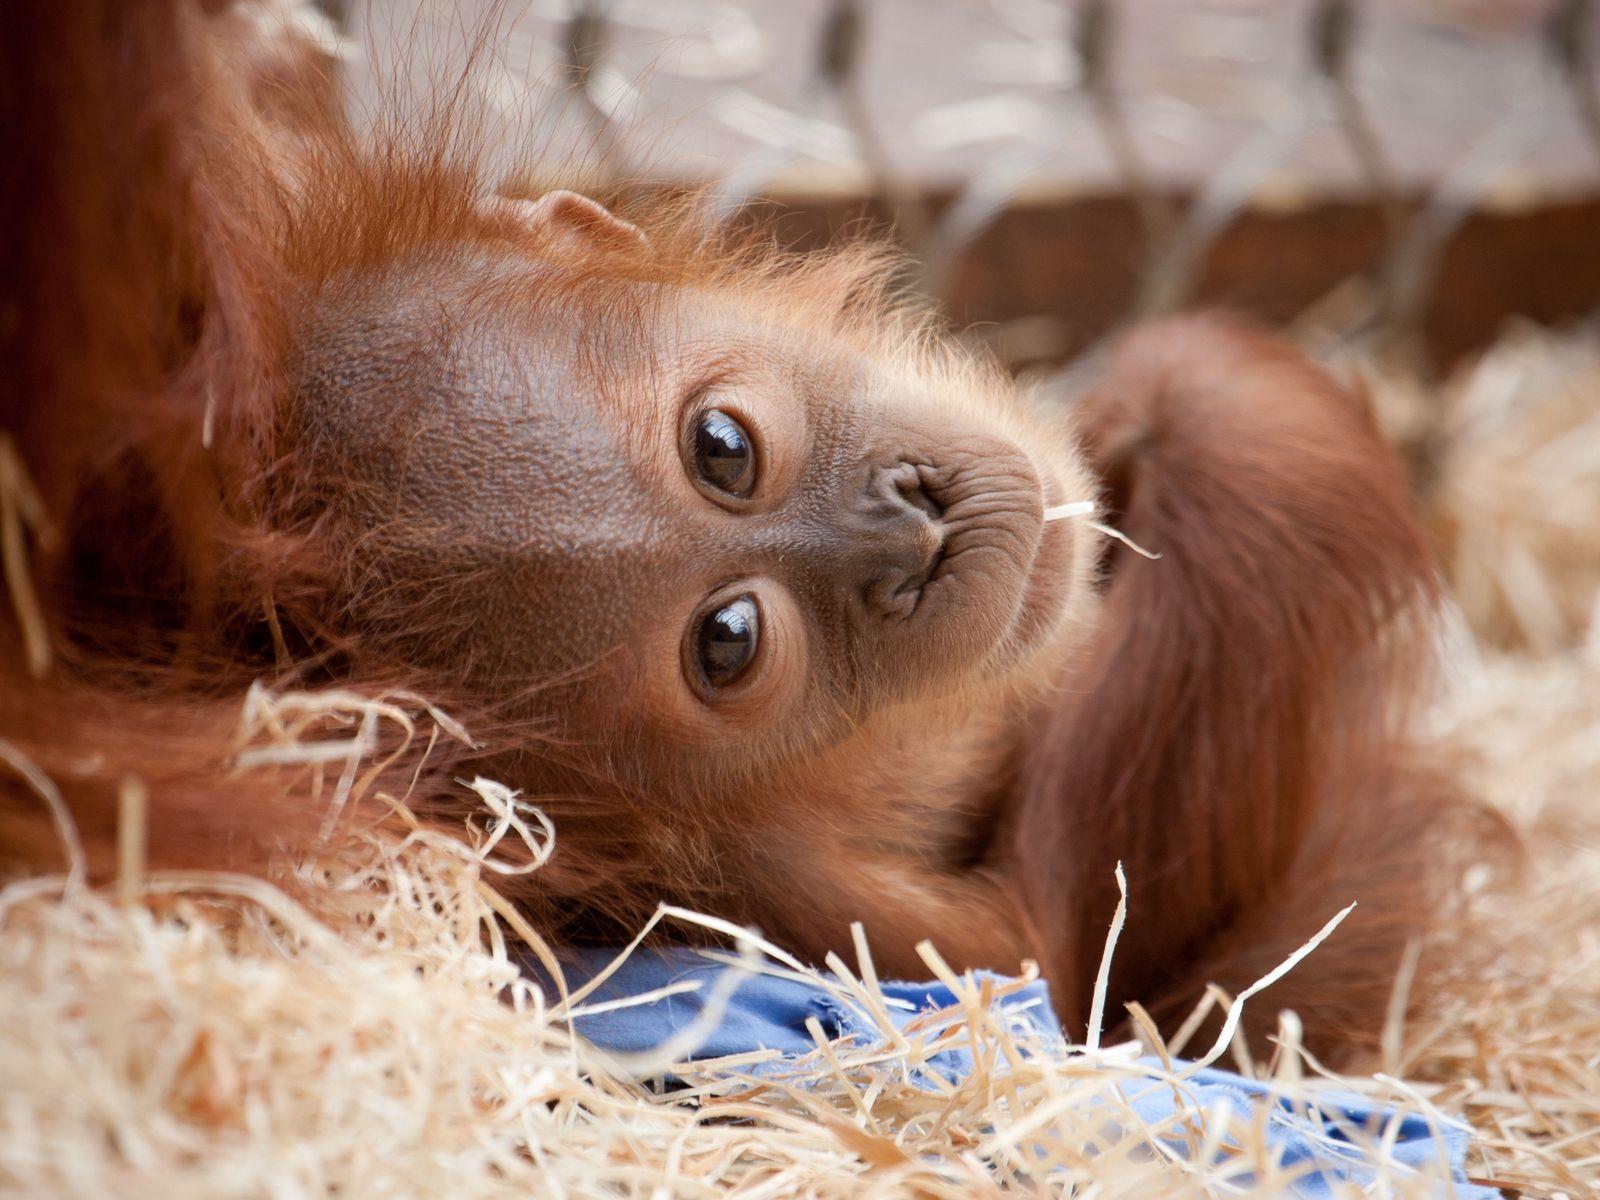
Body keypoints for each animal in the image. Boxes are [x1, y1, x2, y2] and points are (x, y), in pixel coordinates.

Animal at [0, 0, 1481, 1059]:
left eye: (721, 447)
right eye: (727, 641)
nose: (908, 537)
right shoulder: (821, 907)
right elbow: (1070, 958)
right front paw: (1194, 402)